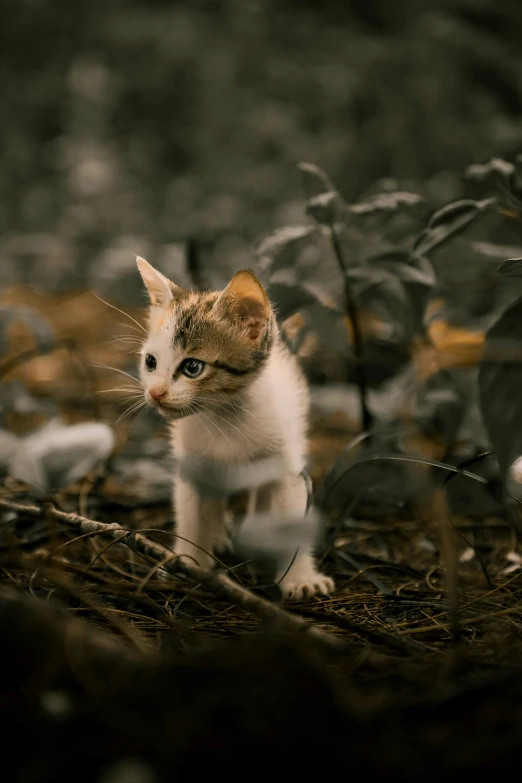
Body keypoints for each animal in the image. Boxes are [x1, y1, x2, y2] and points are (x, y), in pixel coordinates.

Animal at [135, 258, 334, 600]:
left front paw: (299, 578)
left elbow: (292, 521)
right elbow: (191, 515)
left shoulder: (288, 467)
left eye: (192, 367)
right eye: (150, 362)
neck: (224, 416)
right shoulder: (192, 465)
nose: (156, 393)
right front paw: (189, 560)